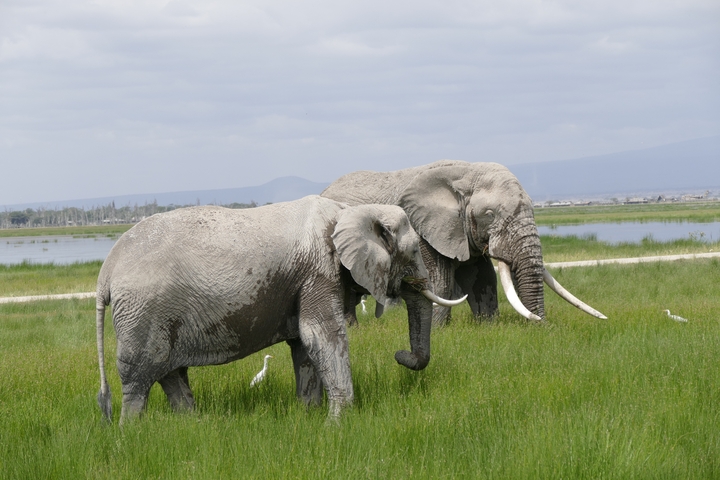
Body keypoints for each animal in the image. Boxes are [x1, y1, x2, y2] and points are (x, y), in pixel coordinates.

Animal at [95, 195, 463, 423]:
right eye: (413, 251)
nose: (400, 355)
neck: (351, 209)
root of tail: (106, 271)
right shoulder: (319, 271)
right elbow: (321, 335)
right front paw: (337, 423)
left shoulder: (305, 281)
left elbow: (304, 345)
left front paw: (308, 416)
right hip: (142, 313)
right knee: (139, 379)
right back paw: (131, 432)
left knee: (170, 374)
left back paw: (192, 425)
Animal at [322, 161, 606, 325]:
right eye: (489, 215)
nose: (541, 326)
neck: (466, 172)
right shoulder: (421, 231)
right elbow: (441, 280)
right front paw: (438, 330)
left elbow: (483, 277)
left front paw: (487, 326)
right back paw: (351, 328)